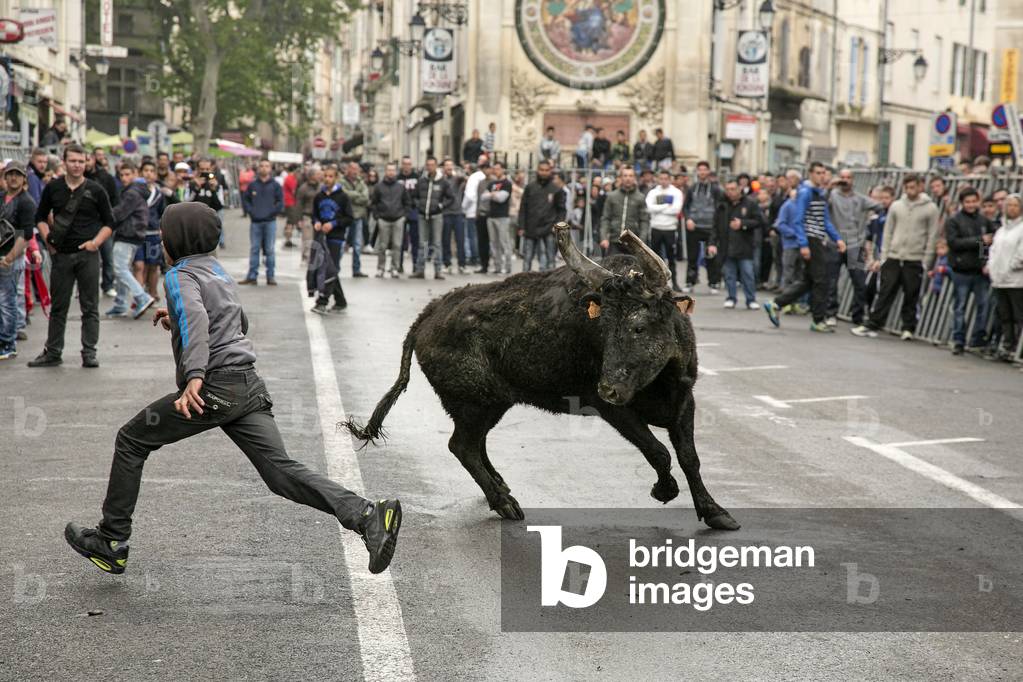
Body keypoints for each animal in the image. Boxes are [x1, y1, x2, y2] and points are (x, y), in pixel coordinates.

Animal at [345, 223, 740, 530]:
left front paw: (717, 513)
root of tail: (429, 315)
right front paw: (664, 490)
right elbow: (659, 451)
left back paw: (503, 490)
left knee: (474, 444)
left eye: (638, 326)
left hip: (489, 405)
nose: (609, 388)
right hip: (475, 404)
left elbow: (689, 458)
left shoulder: (684, 402)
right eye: (603, 327)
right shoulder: (611, 410)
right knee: (462, 446)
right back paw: (505, 503)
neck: (660, 378)